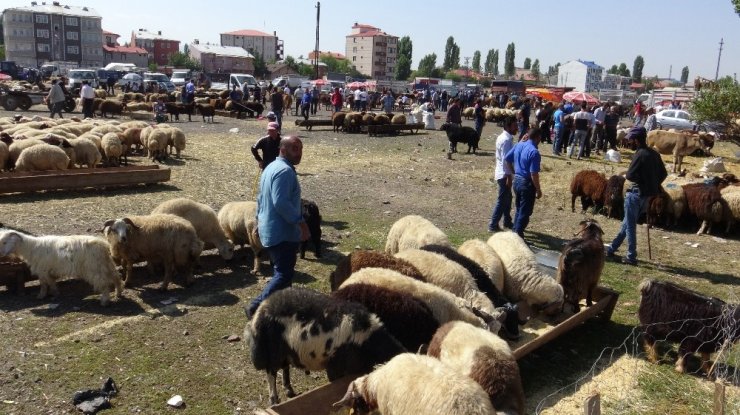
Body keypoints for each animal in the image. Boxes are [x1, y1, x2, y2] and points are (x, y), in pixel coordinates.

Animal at [244, 288, 408, 404]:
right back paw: (274, 400)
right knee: (271, 373)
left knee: (285, 367)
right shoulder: (335, 366)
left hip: (286, 350)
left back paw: (289, 390)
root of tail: (261, 309)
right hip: (273, 350)